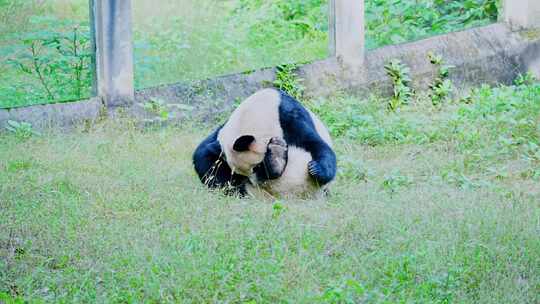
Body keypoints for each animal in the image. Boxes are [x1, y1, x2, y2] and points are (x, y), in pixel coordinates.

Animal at [193, 87, 338, 200]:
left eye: (257, 167)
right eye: (240, 174)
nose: (255, 182)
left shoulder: (288, 114)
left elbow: (314, 143)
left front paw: (317, 169)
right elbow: (205, 156)